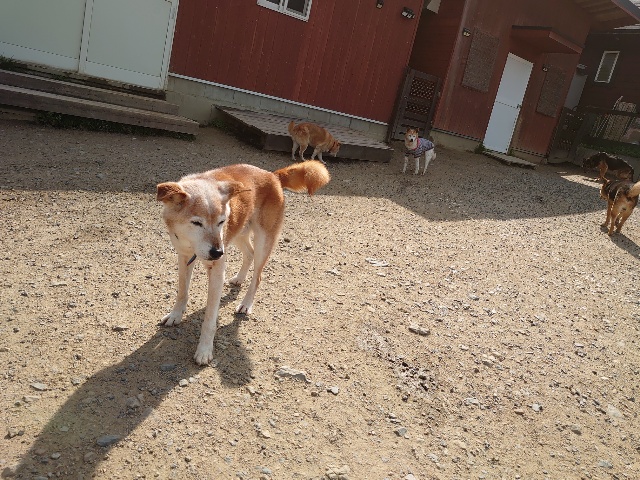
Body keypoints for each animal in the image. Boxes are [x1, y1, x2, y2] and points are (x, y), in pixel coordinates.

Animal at [157, 160, 330, 365]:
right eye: (197, 223)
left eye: (221, 221)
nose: (217, 252)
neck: (191, 244)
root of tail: (273, 175)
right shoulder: (184, 256)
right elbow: (182, 292)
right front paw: (175, 315)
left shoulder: (217, 268)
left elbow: (209, 319)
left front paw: (204, 350)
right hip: (238, 232)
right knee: (249, 254)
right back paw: (239, 278)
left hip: (262, 240)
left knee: (258, 275)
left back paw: (246, 304)